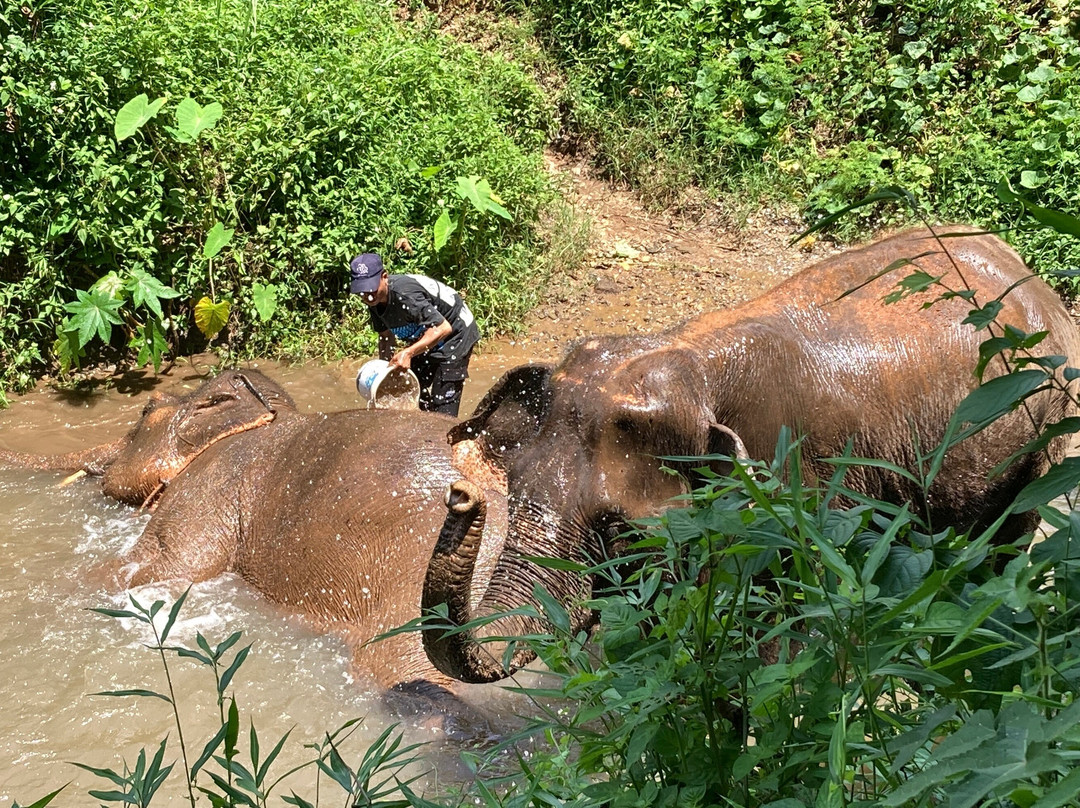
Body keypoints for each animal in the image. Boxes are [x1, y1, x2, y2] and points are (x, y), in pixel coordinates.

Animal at [421, 225, 1080, 684]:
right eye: (513, 493)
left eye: (619, 530)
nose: (461, 495)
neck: (690, 356)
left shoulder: (812, 491)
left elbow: (788, 629)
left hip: (1048, 434)